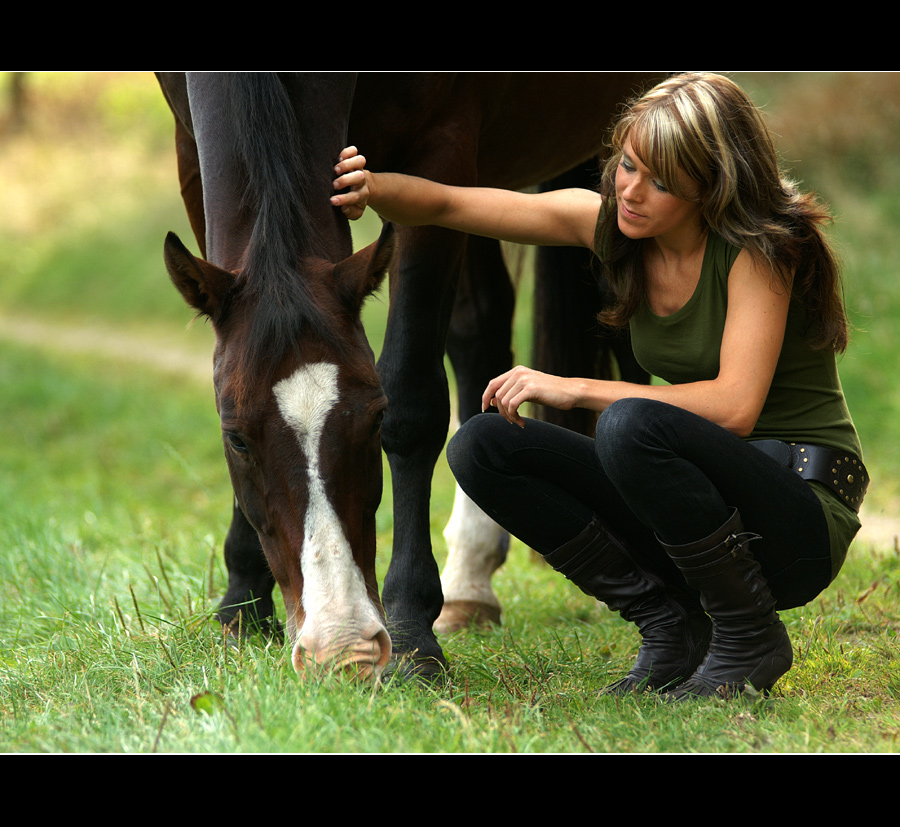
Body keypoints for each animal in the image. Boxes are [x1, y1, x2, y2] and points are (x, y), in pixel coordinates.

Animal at [156, 69, 660, 680]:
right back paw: (470, 578)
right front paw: (243, 604)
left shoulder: (438, 159)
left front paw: (412, 630)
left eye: (374, 421)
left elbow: (415, 401)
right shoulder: (191, 154)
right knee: (483, 328)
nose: (341, 646)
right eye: (236, 439)